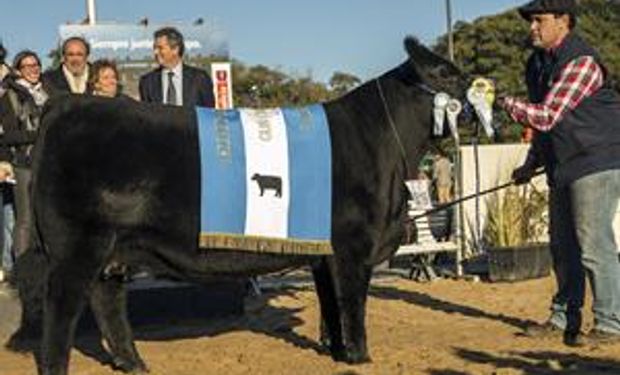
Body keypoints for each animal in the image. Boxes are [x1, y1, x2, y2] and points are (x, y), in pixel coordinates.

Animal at [7, 36, 470, 374]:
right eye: (446, 74)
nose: (476, 95)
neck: (381, 146)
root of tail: (64, 105)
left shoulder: (324, 252)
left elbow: (330, 305)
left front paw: (334, 351)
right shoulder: (353, 246)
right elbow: (351, 304)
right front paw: (359, 357)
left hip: (112, 250)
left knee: (107, 301)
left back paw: (134, 363)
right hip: (76, 247)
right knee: (62, 310)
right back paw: (60, 367)